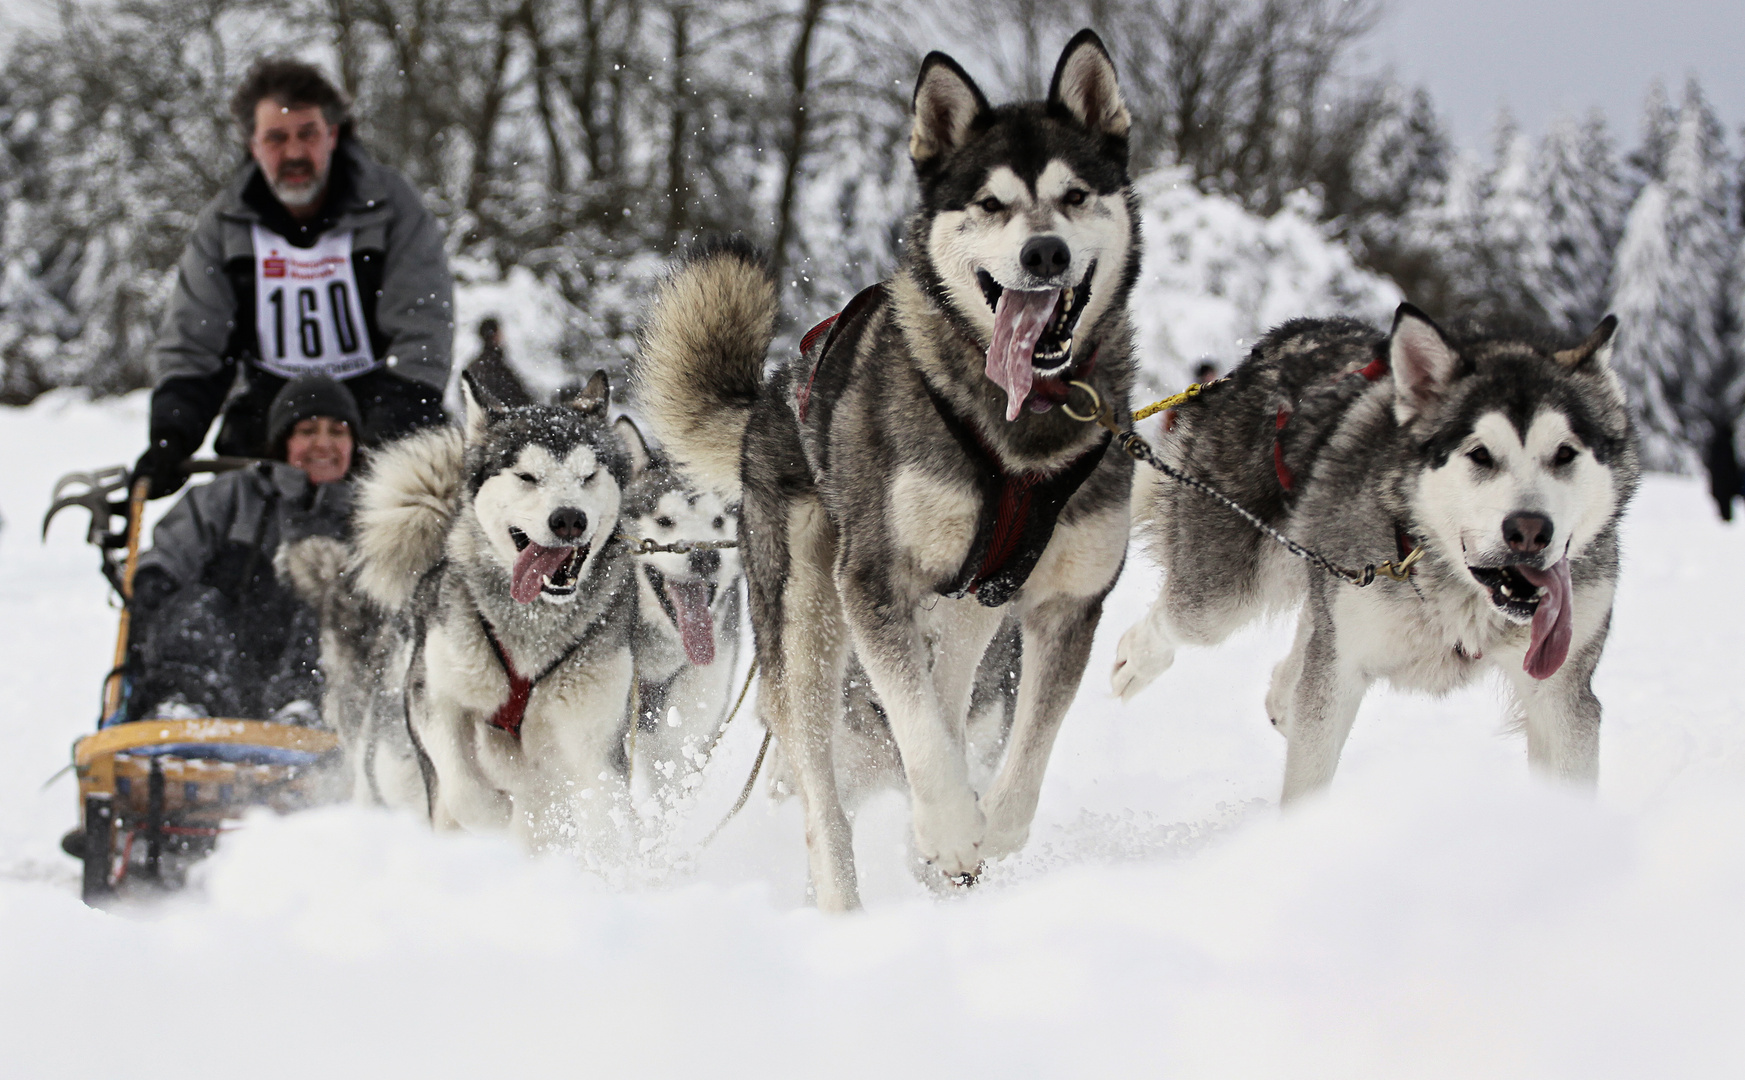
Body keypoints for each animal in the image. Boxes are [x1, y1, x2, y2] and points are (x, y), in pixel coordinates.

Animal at [635, 29, 1137, 907]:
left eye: (1076, 196)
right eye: (990, 204)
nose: (1044, 252)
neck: (1018, 434)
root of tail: (777, 391)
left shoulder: (1069, 602)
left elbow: (1021, 759)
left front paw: (979, 832)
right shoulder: (871, 581)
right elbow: (921, 738)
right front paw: (948, 829)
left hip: (969, 610)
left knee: (945, 697)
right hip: (807, 619)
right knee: (823, 798)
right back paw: (843, 899)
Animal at [1116, 308, 1633, 799]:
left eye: (1564, 453)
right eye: (1480, 454)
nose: (1529, 531)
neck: (1456, 589)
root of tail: (1275, 345)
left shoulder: (1561, 695)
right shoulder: (1339, 672)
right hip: (1221, 595)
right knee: (1174, 621)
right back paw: (1132, 662)